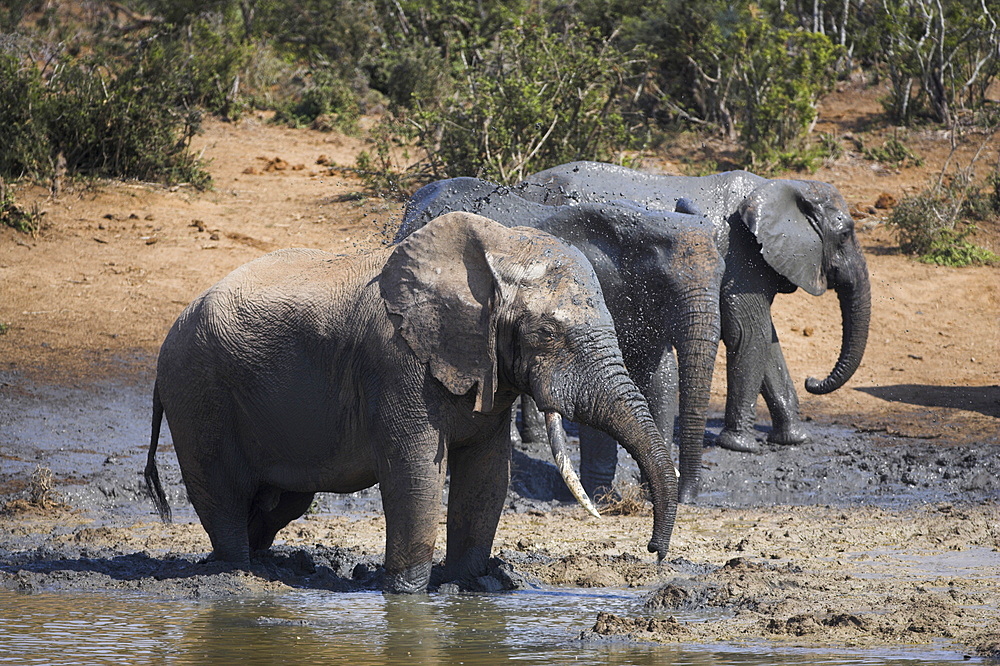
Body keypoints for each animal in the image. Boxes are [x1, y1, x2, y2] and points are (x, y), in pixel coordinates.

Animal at [143, 211, 680, 592]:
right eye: (546, 334)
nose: (653, 553)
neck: (497, 247)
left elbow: (488, 474)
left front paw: (468, 586)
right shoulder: (397, 362)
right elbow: (415, 470)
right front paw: (408, 594)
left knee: (282, 501)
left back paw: (267, 567)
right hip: (197, 390)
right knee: (224, 491)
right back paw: (234, 574)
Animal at [400, 174, 728, 500]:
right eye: (665, 283)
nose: (688, 497)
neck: (638, 221)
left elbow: (662, 379)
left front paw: (648, 493)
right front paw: (601, 496)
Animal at [520, 159, 872, 454]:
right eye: (845, 234)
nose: (812, 381)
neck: (780, 186)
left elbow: (767, 341)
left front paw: (794, 440)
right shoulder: (740, 259)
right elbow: (749, 334)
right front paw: (741, 447)